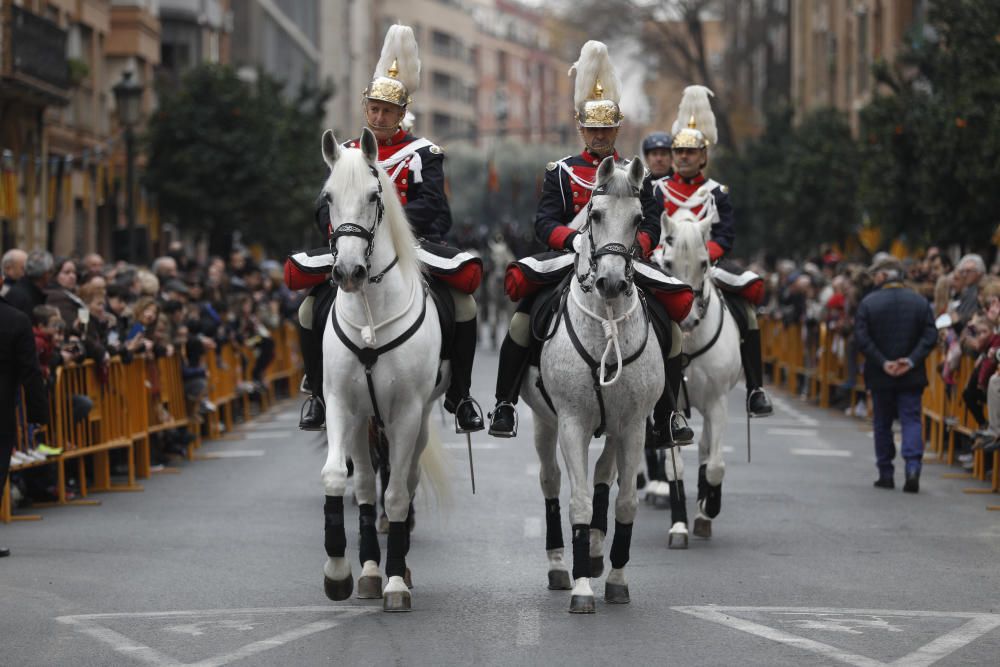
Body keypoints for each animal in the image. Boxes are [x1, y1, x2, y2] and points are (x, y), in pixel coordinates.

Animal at [318, 128, 448, 612]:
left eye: (375, 196)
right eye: (328, 197)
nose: (349, 272)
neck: (371, 314)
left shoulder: (407, 411)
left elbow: (394, 495)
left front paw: (394, 580)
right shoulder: (344, 406)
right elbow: (345, 481)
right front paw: (346, 571)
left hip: (418, 419)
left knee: (403, 482)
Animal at [520, 157, 660, 616]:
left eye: (638, 219)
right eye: (594, 214)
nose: (612, 283)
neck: (607, 325)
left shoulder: (632, 425)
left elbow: (624, 499)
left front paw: (615, 578)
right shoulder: (572, 422)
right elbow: (578, 499)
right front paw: (581, 587)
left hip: (615, 427)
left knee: (603, 476)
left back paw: (598, 552)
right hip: (544, 422)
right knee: (550, 481)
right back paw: (560, 566)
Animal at [656, 210, 744, 548]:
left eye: (705, 263)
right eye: (667, 264)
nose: (688, 319)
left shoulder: (717, 402)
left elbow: (716, 465)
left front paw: (709, 509)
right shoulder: (666, 406)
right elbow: (674, 466)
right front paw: (678, 524)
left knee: (707, 449)